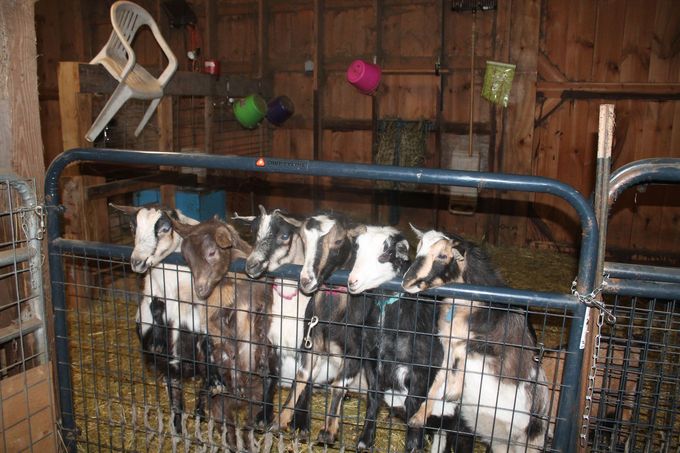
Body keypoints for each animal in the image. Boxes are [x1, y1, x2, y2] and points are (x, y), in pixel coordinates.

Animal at [171, 217, 274, 446]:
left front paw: (262, 363)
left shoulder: (264, 305)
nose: (200, 290)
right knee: (229, 430)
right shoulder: (213, 316)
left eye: (211, 252)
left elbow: (262, 332)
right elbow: (225, 343)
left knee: (246, 429)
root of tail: (237, 403)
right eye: (186, 258)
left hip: (256, 399)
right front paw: (234, 375)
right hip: (219, 405)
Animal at [346, 226, 472, 452]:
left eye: (385, 254)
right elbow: (373, 397)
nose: (352, 282)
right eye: (357, 251)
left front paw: (413, 445)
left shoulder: (421, 368)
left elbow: (414, 404)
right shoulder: (372, 360)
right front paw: (365, 439)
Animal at [402, 226, 548, 452]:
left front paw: (454, 391)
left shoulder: (491, 349)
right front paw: (419, 416)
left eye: (443, 255)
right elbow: (439, 377)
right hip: (499, 439)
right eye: (419, 248)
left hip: (529, 439)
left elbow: (464, 351)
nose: (407, 282)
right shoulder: (446, 344)